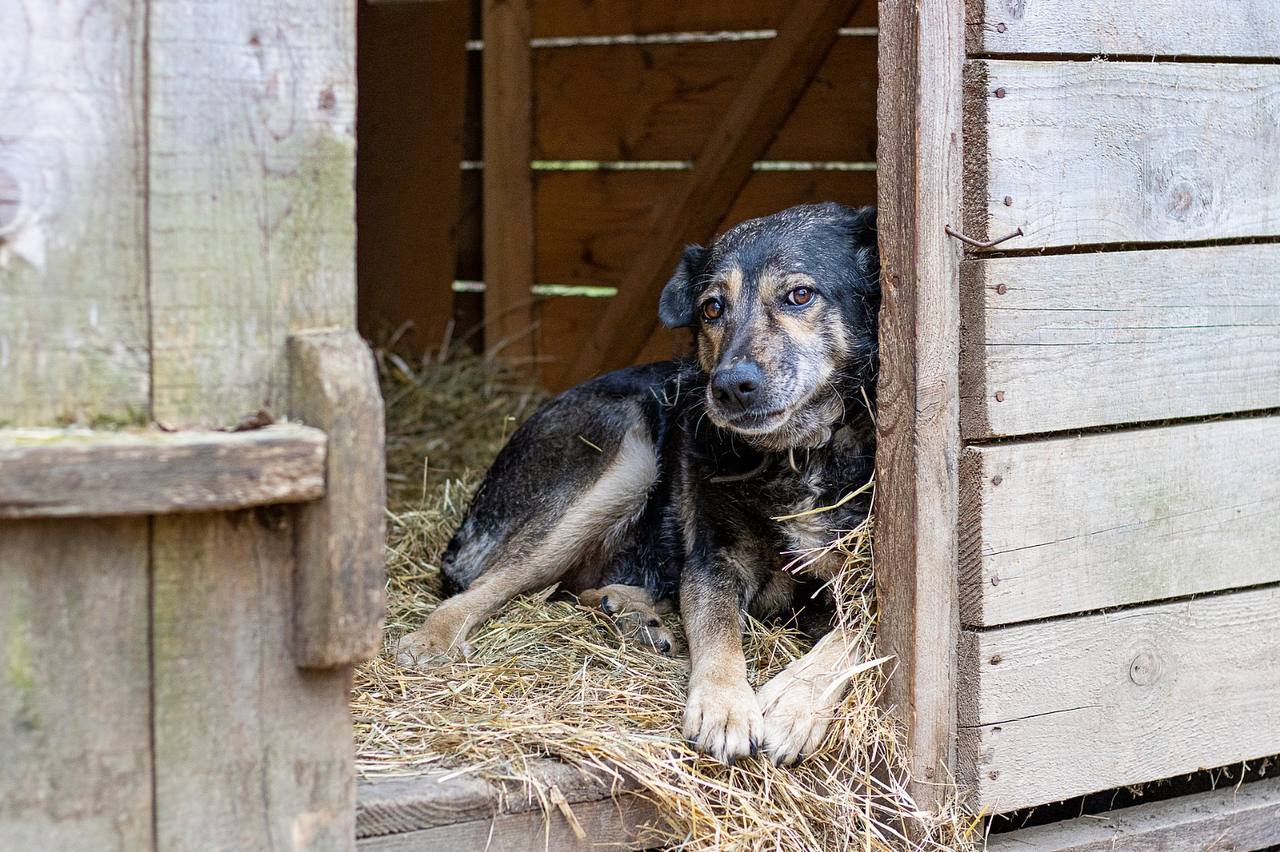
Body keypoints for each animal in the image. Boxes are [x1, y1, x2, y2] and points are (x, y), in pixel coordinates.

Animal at [396, 200, 880, 762]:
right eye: (712, 308)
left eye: (800, 295)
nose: (729, 388)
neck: (801, 453)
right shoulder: (714, 561)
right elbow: (718, 635)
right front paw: (724, 706)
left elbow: (851, 636)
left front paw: (794, 702)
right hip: (630, 458)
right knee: (489, 582)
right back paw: (434, 637)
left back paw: (630, 610)